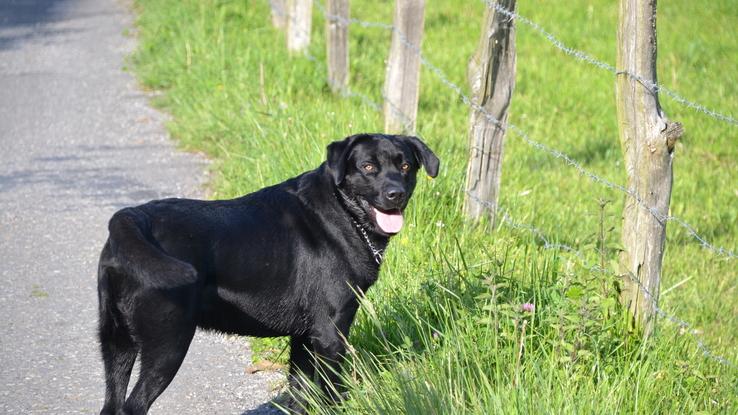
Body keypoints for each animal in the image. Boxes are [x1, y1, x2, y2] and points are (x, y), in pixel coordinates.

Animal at [95, 134, 434, 415]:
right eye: (367, 166)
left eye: (405, 165)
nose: (395, 193)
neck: (343, 213)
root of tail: (133, 218)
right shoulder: (331, 331)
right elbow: (332, 391)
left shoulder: (304, 336)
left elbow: (299, 392)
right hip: (167, 343)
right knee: (133, 406)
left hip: (116, 342)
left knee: (111, 404)